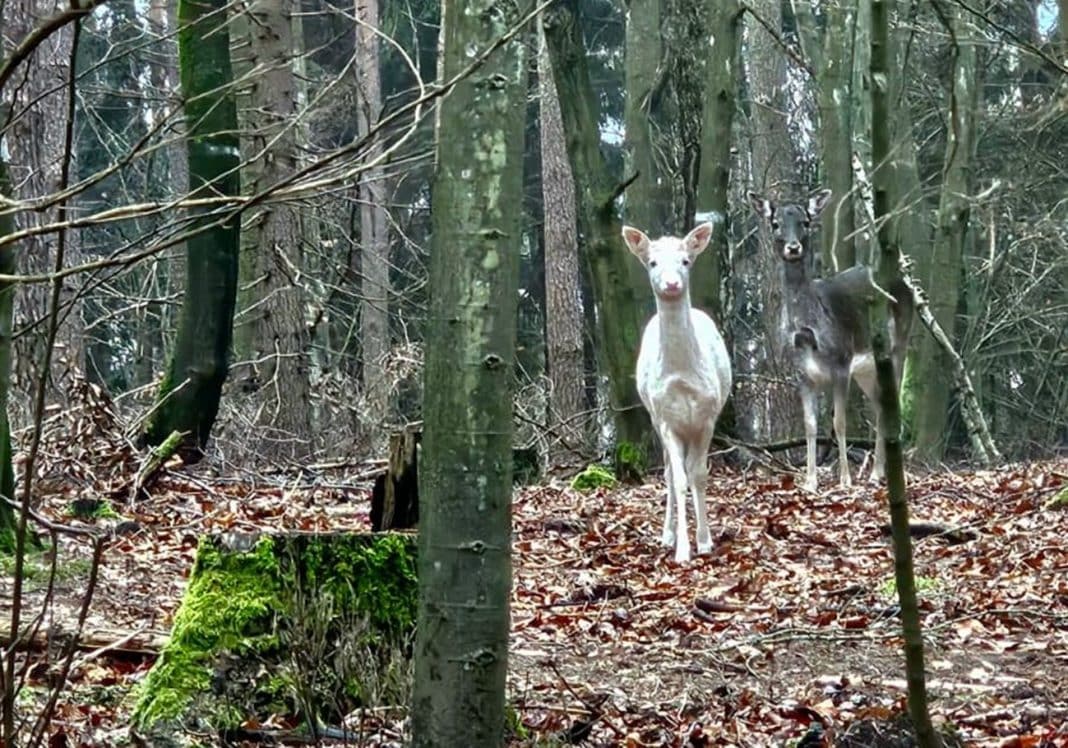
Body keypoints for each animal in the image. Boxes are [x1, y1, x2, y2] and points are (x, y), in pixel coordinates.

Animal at [623, 222, 730, 559]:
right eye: (652, 262)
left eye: (686, 260)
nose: (671, 283)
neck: (682, 376)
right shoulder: (667, 419)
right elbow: (680, 478)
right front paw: (683, 549)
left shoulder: (707, 417)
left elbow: (699, 474)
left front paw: (705, 541)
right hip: (655, 419)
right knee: (670, 473)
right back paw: (667, 536)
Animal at [747, 187, 914, 491]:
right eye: (775, 223)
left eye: (805, 222)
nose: (793, 248)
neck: (807, 328)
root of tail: (905, 285)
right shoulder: (801, 372)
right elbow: (810, 425)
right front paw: (810, 481)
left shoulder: (841, 361)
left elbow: (839, 423)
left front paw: (845, 480)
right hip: (867, 368)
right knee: (880, 405)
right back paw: (876, 473)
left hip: (899, 342)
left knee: (892, 401)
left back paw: (885, 474)